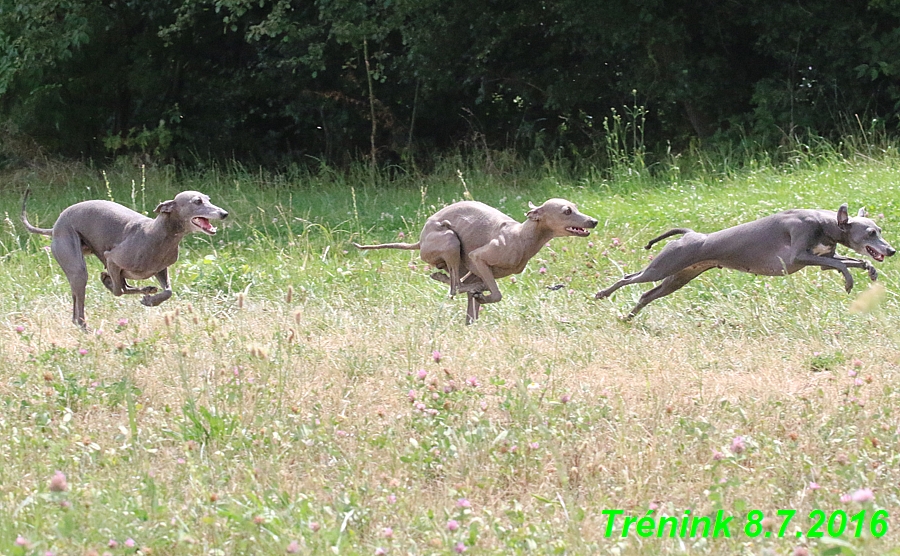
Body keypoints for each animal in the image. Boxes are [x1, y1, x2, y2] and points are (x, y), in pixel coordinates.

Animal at [21, 191, 229, 330]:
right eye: (197, 201)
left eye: (208, 199)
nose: (224, 213)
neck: (158, 234)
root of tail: (55, 227)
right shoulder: (112, 258)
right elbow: (117, 291)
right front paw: (113, 284)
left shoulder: (160, 269)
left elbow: (168, 291)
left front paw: (151, 300)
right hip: (77, 266)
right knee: (84, 306)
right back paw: (86, 327)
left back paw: (146, 290)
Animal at [352, 199, 596, 322]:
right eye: (567, 211)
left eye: (575, 207)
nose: (593, 221)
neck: (520, 236)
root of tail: (419, 242)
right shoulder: (478, 257)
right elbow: (495, 294)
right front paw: (483, 296)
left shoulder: (478, 269)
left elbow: (477, 298)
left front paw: (476, 310)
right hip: (450, 241)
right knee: (454, 287)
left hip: (459, 261)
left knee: (456, 283)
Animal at [596, 204, 896, 318]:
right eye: (871, 233)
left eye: (879, 230)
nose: (891, 250)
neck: (825, 223)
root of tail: (689, 234)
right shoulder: (799, 257)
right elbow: (843, 265)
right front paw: (849, 282)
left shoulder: (823, 259)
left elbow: (848, 261)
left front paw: (870, 271)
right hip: (662, 268)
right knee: (628, 278)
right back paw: (602, 294)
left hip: (678, 277)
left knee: (646, 294)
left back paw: (628, 317)